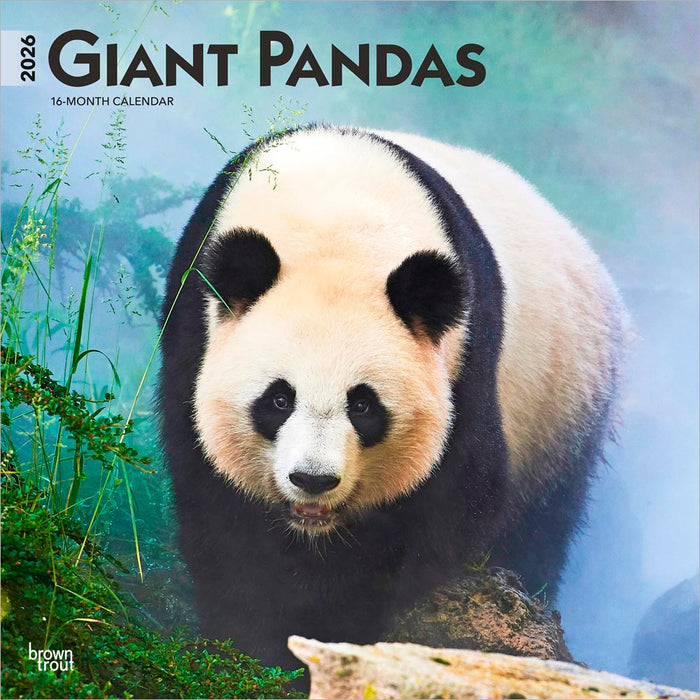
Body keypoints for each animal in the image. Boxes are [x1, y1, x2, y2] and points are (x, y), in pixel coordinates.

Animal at [159, 125, 625, 673]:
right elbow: (217, 503)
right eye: (278, 400)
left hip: (564, 403)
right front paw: (256, 643)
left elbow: (448, 506)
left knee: (541, 526)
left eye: (363, 406)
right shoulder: (192, 325)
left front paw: (330, 623)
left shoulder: (466, 358)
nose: (313, 481)